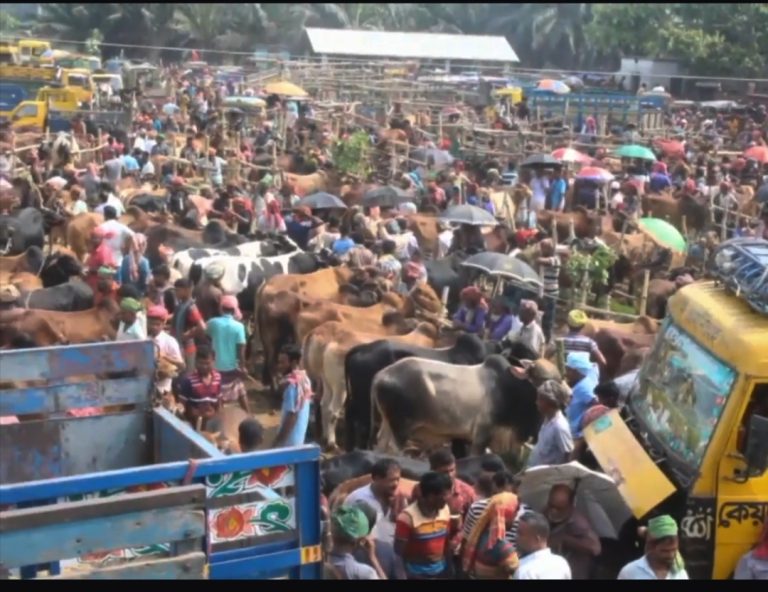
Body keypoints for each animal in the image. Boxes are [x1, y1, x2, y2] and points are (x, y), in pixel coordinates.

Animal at [304, 322, 440, 450]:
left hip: (327, 381)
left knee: (324, 404)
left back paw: (325, 437)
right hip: (340, 387)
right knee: (333, 410)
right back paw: (332, 442)